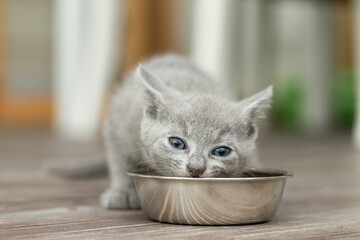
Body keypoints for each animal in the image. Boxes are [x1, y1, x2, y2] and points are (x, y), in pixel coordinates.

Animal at [100, 54, 272, 208]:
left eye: (221, 151)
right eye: (176, 143)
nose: (196, 168)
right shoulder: (116, 126)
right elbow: (120, 162)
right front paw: (123, 192)